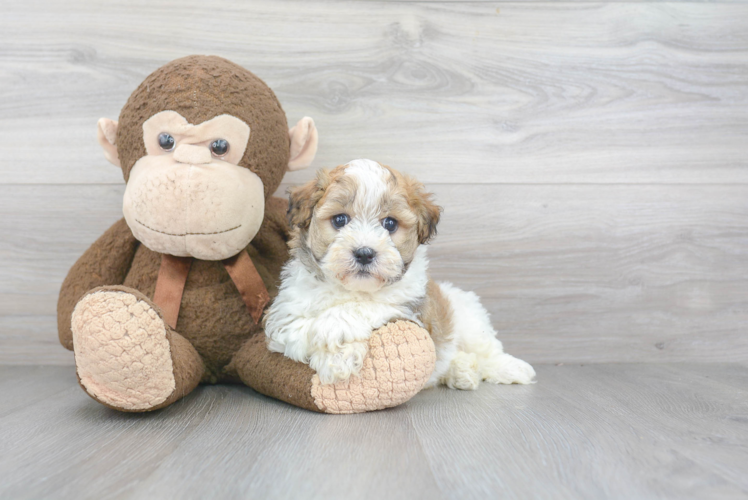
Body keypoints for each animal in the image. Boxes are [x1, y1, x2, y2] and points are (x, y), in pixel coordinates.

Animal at [266, 158, 536, 388]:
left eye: (390, 224)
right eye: (340, 220)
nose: (364, 253)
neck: (353, 289)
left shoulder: (413, 310)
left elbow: (371, 305)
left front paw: (334, 330)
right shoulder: (282, 318)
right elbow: (299, 328)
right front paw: (336, 359)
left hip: (467, 317)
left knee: (487, 348)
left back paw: (510, 368)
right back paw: (463, 370)